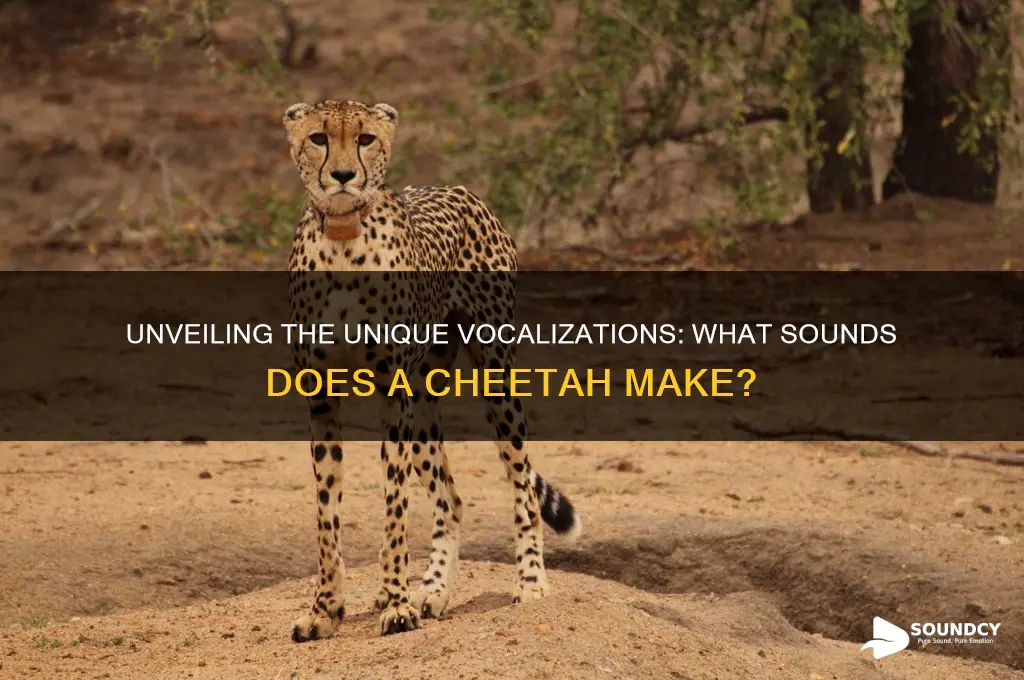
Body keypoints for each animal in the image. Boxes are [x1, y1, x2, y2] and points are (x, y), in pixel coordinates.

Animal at [281, 99, 583, 641]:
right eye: (318, 137)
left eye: (365, 138)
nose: (343, 175)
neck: (342, 239)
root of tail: (459, 189)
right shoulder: (321, 399)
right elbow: (326, 514)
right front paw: (325, 610)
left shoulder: (391, 394)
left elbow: (394, 509)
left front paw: (397, 606)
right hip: (422, 405)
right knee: (450, 498)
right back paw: (434, 590)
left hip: (494, 377)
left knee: (523, 487)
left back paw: (528, 583)